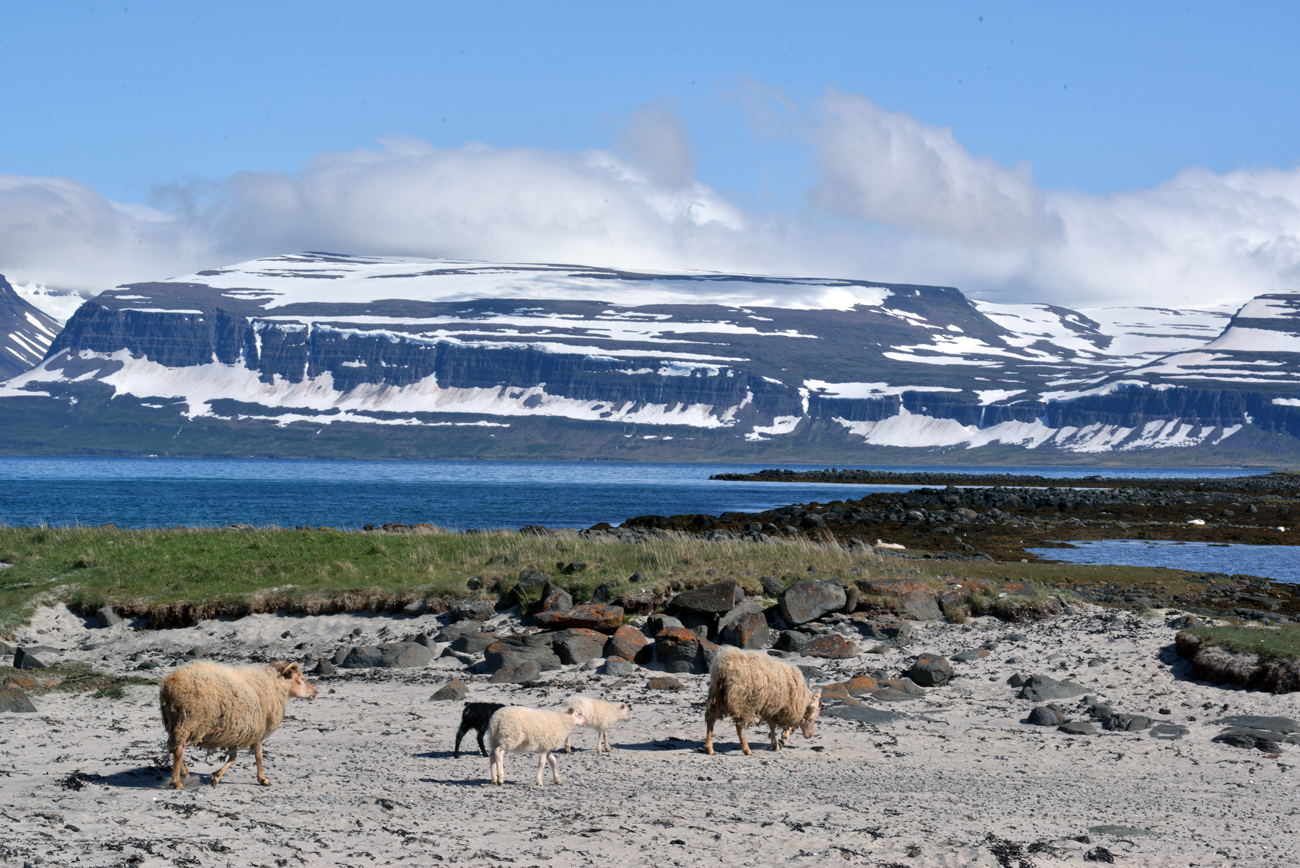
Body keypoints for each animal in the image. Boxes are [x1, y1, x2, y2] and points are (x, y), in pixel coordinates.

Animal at [159, 660, 317, 790]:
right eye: (302, 679)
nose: (315, 692)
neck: (274, 687)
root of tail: (171, 685)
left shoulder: (236, 732)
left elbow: (233, 759)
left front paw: (215, 777)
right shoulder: (259, 731)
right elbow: (259, 756)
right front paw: (263, 779)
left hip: (175, 724)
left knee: (174, 748)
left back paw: (185, 774)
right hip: (191, 722)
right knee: (178, 750)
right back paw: (177, 782)